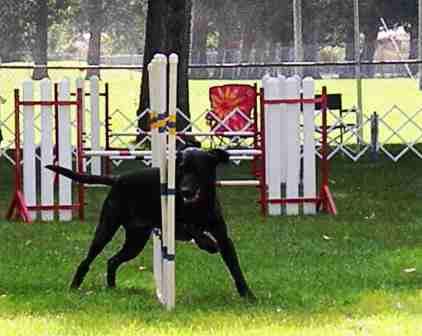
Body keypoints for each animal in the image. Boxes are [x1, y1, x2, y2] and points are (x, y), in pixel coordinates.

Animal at [47, 148, 256, 300]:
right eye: (180, 170)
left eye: (198, 170)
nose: (185, 191)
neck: (199, 205)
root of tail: (117, 179)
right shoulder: (175, 226)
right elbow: (193, 229)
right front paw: (208, 244)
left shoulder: (224, 238)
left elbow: (235, 268)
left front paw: (248, 295)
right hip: (106, 230)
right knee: (87, 260)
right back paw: (74, 286)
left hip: (135, 241)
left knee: (112, 261)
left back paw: (112, 288)